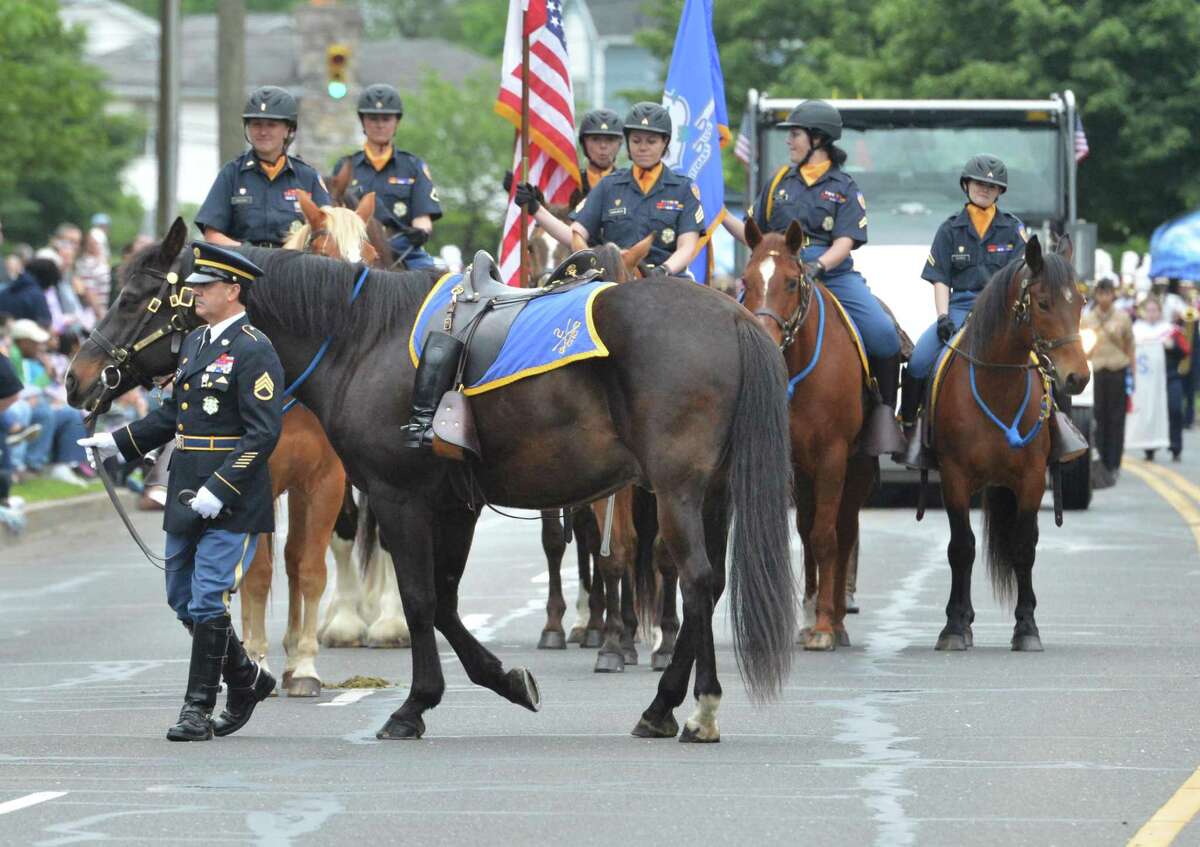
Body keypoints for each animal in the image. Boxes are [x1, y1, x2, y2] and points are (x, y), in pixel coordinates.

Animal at [65, 215, 796, 739]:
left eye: (133, 297)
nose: (77, 378)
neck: (363, 338)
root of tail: (732, 314)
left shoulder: (399, 497)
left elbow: (419, 599)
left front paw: (414, 704)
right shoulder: (454, 503)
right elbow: (442, 601)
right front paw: (504, 679)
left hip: (676, 492)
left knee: (696, 580)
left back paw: (692, 707)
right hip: (711, 494)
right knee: (708, 585)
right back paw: (668, 707)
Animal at [739, 220, 883, 647]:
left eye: (790, 282)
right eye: (745, 280)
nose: (765, 339)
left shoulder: (833, 457)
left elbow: (825, 535)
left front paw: (823, 626)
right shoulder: (789, 459)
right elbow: (805, 533)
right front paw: (810, 615)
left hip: (858, 467)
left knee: (845, 529)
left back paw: (837, 620)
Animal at [916, 233, 1089, 647]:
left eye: (1081, 302)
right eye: (1043, 303)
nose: (1078, 377)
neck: (997, 384)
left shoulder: (1030, 479)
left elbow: (1022, 546)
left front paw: (1026, 627)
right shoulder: (954, 478)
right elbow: (961, 548)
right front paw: (954, 626)